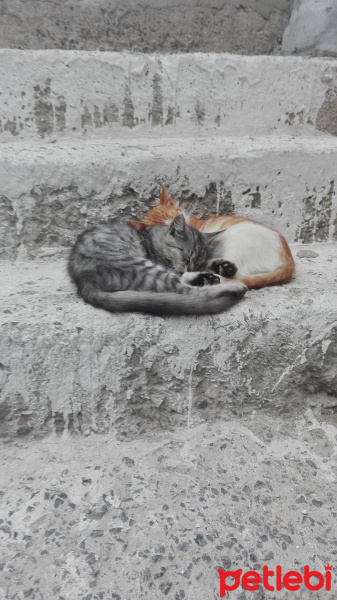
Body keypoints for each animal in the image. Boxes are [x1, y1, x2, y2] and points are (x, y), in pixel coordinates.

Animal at [69, 216, 247, 318]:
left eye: (196, 261)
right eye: (187, 257)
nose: (189, 268)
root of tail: (84, 283)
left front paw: (224, 267)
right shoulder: (166, 265)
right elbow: (183, 275)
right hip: (141, 265)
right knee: (190, 291)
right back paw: (234, 287)